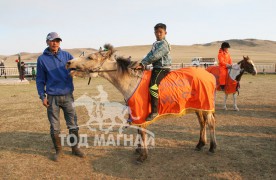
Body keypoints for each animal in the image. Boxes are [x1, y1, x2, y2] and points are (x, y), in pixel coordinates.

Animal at [66, 44, 218, 163]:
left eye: (90, 57)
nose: (68, 63)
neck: (131, 81)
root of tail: (208, 74)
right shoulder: (135, 113)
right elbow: (139, 131)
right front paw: (139, 150)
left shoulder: (141, 113)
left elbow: (142, 132)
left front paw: (143, 156)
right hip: (199, 107)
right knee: (202, 123)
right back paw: (200, 144)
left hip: (206, 106)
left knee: (210, 123)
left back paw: (212, 147)